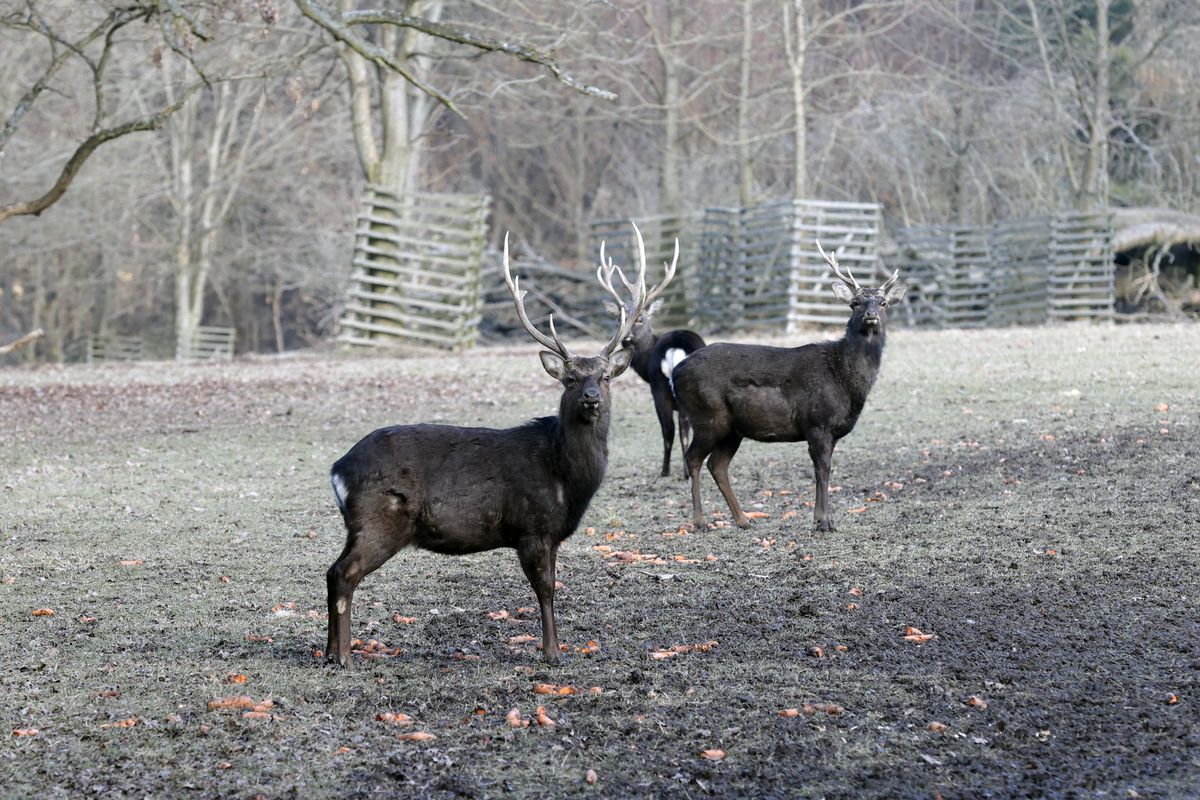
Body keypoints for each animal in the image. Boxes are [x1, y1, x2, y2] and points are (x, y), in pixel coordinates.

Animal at [324, 226, 667, 671]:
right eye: (570, 378)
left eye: (606, 376)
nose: (591, 397)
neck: (564, 474)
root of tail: (338, 468)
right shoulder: (532, 527)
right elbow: (545, 589)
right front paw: (553, 653)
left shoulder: (552, 534)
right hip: (379, 519)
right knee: (344, 574)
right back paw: (346, 657)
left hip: (359, 524)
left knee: (331, 572)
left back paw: (327, 653)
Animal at [600, 241, 700, 479]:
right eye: (619, 319)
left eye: (641, 319)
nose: (625, 337)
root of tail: (675, 349)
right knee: (682, 427)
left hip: (661, 390)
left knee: (672, 429)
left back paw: (668, 471)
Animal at [672, 241, 902, 534]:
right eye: (855, 303)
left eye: (883, 303)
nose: (871, 315)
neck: (845, 379)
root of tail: (676, 372)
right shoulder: (817, 422)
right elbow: (823, 470)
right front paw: (824, 522)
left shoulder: (832, 432)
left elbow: (823, 470)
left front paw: (819, 520)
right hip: (707, 415)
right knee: (693, 458)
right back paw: (701, 521)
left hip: (732, 428)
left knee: (717, 464)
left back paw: (744, 519)